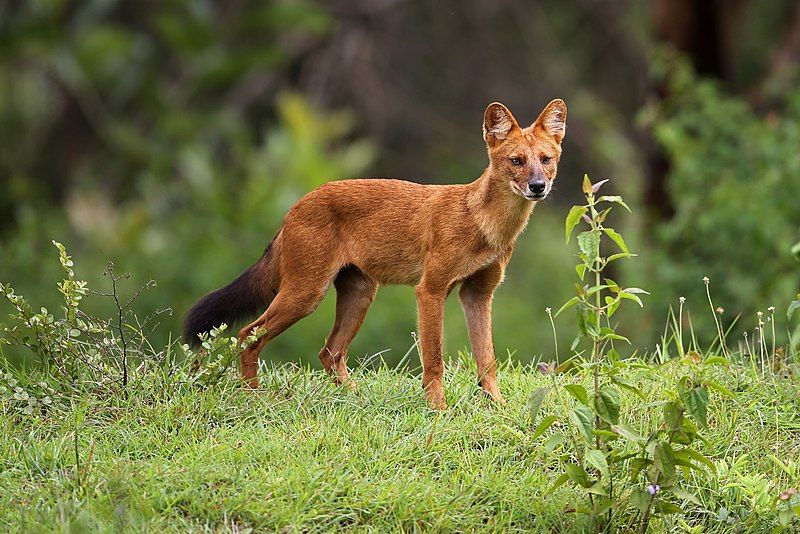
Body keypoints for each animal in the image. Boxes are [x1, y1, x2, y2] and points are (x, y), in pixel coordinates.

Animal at [184, 100, 564, 410]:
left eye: (546, 160)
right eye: (516, 161)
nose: (538, 186)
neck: (485, 223)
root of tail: (295, 206)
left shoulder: (478, 294)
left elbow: (487, 359)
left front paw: (498, 407)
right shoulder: (430, 290)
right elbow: (434, 358)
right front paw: (438, 410)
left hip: (360, 294)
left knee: (329, 351)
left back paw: (355, 398)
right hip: (306, 294)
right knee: (249, 335)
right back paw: (254, 397)